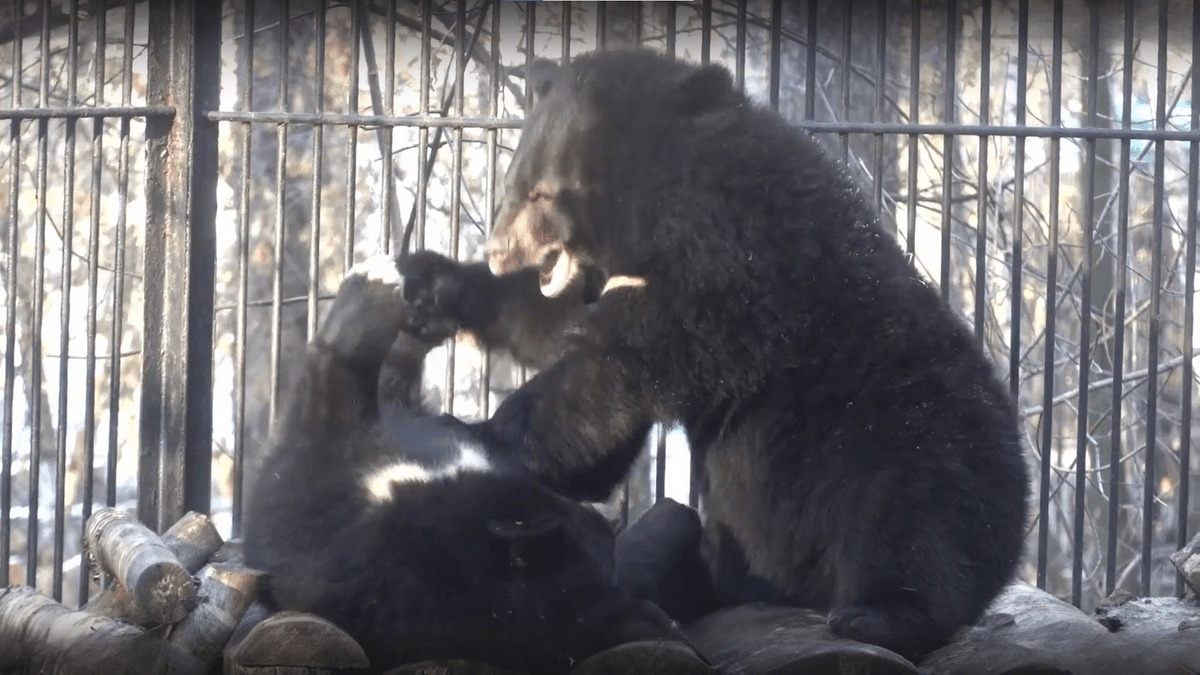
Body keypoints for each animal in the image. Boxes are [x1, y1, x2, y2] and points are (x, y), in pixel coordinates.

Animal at [400, 49, 1032, 658]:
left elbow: (608, 372)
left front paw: (479, 432)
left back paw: (880, 616)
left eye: (542, 192)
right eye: (514, 182)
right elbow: (555, 327)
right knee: (674, 530)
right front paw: (432, 284)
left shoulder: (731, 273)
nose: (497, 248)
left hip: (909, 437)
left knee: (915, 529)